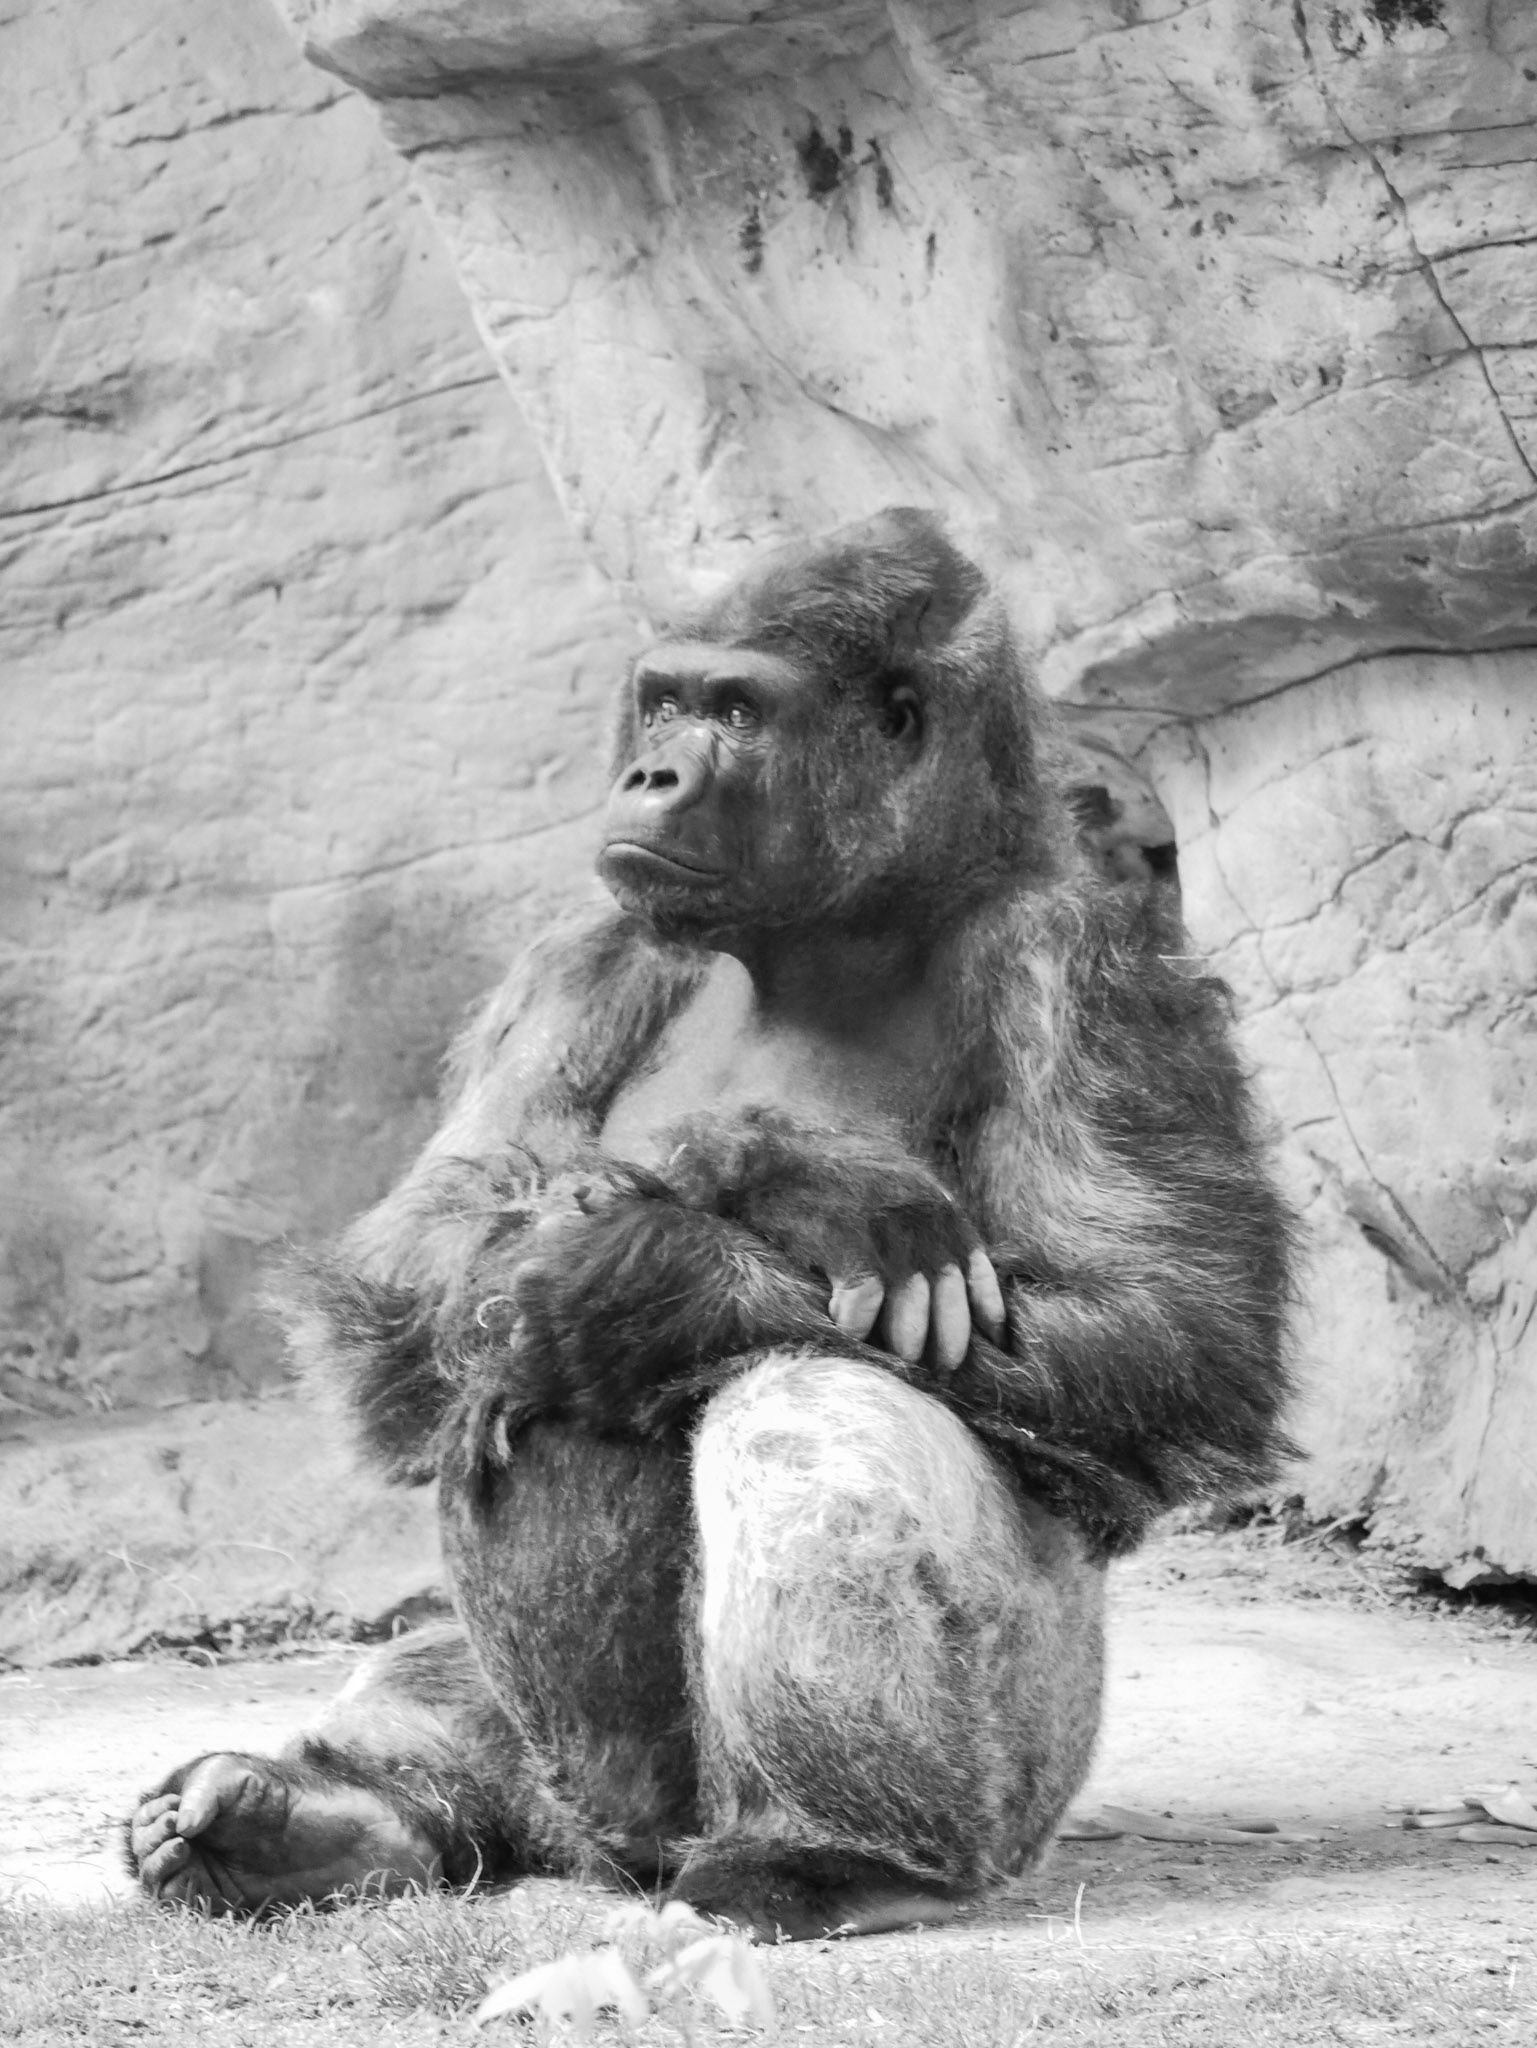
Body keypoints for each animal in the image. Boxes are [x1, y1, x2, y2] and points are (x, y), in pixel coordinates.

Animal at [125, 508, 1294, 1940]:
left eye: (736, 709)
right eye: (666, 699)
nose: (649, 772)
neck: (843, 925)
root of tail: (609, 1852)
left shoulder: (1085, 964)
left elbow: (1169, 1324)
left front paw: (661, 1267)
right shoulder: (583, 954)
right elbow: (417, 1249)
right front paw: (776, 1184)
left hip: (1023, 1773)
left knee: (805, 1402)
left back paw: (831, 1851)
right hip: (567, 1799)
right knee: (457, 1632)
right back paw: (327, 1814)